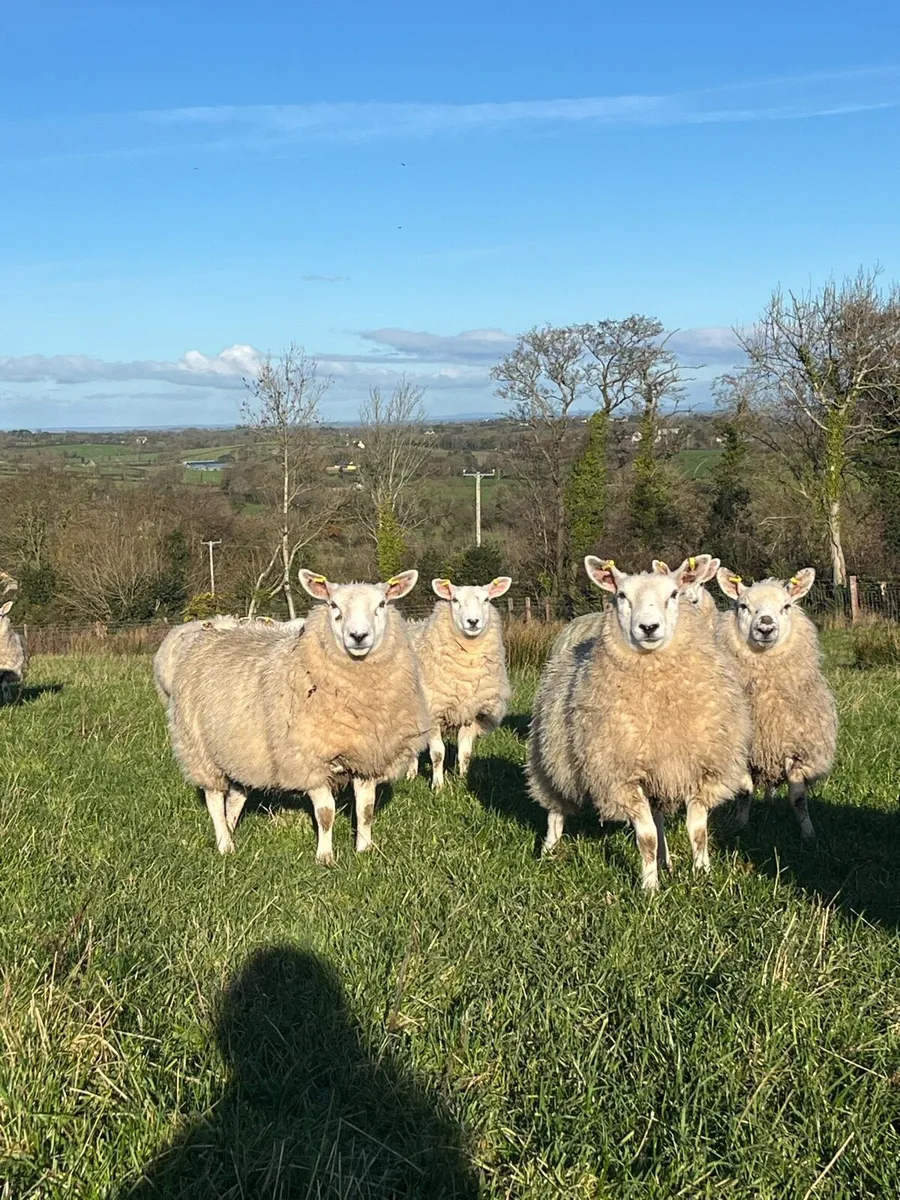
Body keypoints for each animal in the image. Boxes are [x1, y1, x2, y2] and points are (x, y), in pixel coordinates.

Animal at [165, 570, 429, 862]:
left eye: (381, 604)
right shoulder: (308, 760)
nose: (358, 636)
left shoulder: (367, 758)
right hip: (199, 749)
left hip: (240, 751)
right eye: (333, 605)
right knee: (213, 798)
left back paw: (232, 827)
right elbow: (325, 813)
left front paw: (364, 849)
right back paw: (225, 844)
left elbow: (366, 810)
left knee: (236, 794)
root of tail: (211, 634)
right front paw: (325, 857)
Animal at [406, 576, 512, 788]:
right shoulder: (433, 712)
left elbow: (465, 753)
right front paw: (438, 785)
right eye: (454, 600)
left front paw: (463, 780)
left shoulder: (470, 712)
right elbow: (438, 754)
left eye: (487, 600)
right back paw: (410, 775)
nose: (473, 622)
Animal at [527, 555, 751, 890]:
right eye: (621, 595)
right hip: (550, 758)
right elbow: (645, 838)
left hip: (656, 775)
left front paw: (703, 874)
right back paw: (548, 852)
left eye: (673, 594)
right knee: (555, 808)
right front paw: (650, 888)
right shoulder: (622, 778)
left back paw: (665, 860)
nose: (648, 627)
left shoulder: (700, 768)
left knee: (658, 819)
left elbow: (697, 831)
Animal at [716, 567, 837, 841]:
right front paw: (740, 824)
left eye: (786, 606)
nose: (765, 627)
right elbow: (744, 792)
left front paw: (808, 834)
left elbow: (799, 798)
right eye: (743, 606)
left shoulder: (796, 751)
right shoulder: (743, 750)